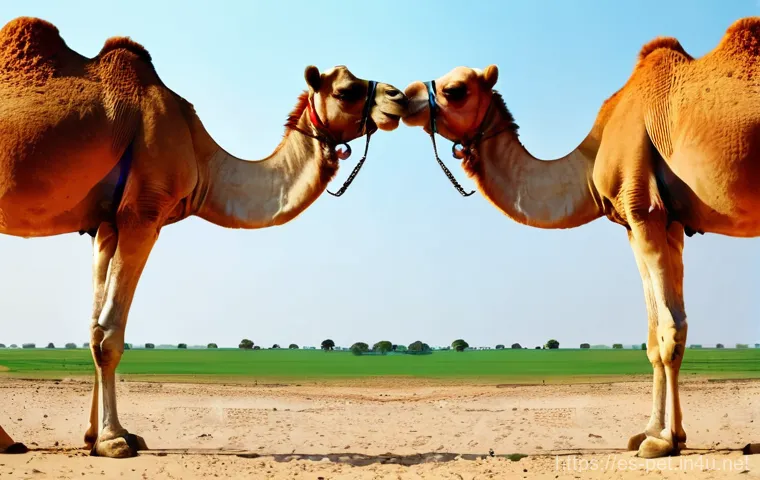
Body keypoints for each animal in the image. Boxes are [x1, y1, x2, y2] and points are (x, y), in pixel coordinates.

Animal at [0, 16, 407, 458]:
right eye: (347, 90)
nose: (399, 97)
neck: (202, 157)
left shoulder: (104, 225)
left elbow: (92, 326)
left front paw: (98, 436)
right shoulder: (143, 213)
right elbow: (110, 334)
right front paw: (114, 440)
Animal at [403, 17, 760, 458]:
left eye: (455, 89)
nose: (401, 97)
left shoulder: (644, 211)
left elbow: (669, 331)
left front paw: (660, 442)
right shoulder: (662, 224)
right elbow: (656, 336)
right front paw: (661, 433)